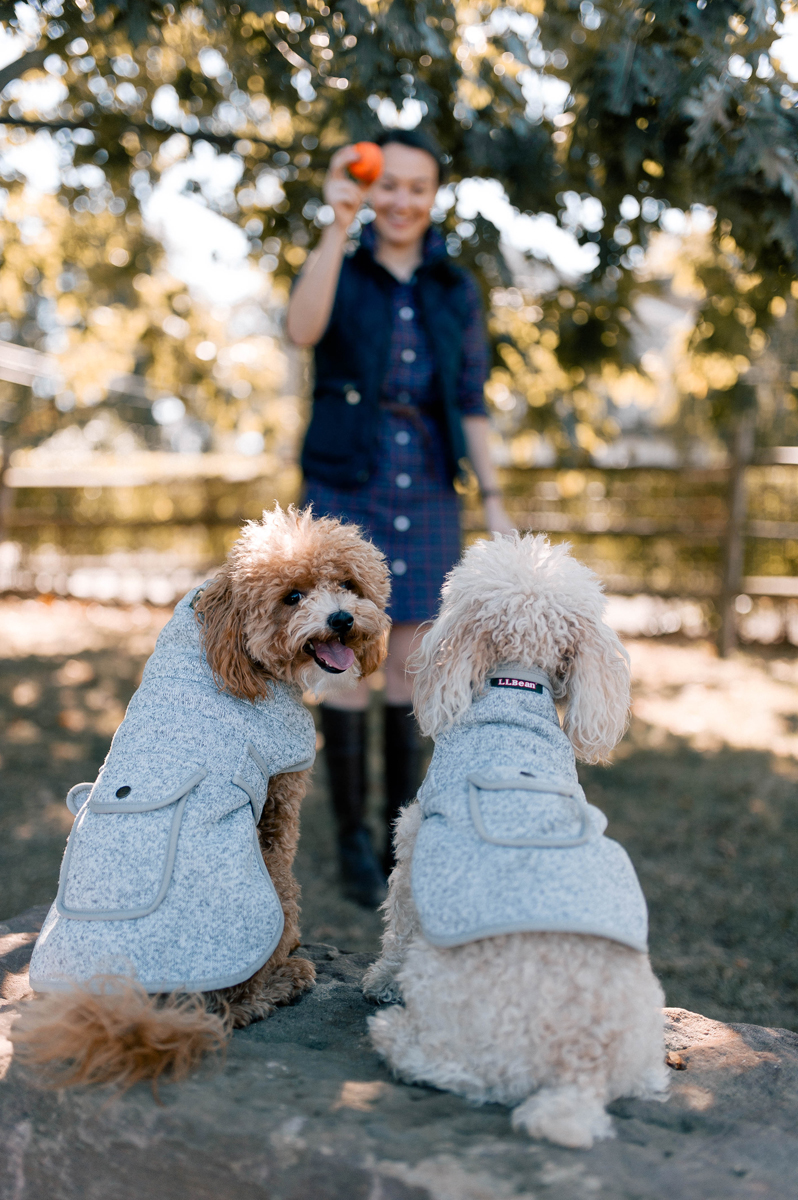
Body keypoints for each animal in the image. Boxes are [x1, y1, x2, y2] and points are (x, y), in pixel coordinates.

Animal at [364, 532, 667, 1142]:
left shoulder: (416, 837)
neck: (517, 687)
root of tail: (582, 1062)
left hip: (446, 980)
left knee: (458, 1068)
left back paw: (394, 1035)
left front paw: (380, 978)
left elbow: (398, 919)